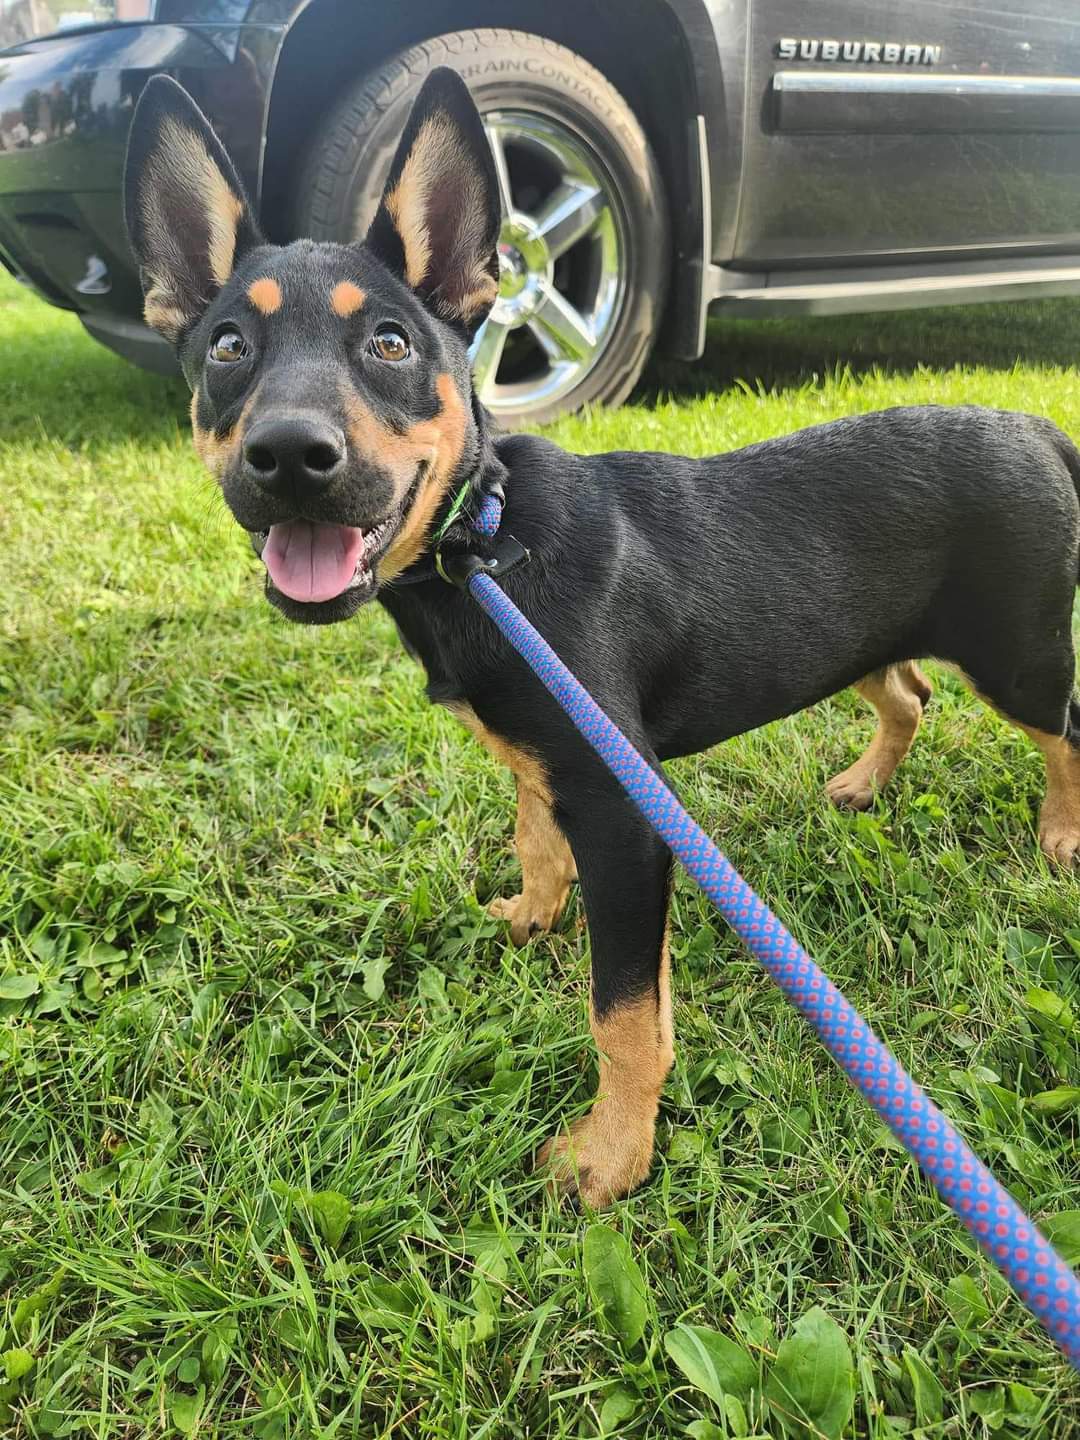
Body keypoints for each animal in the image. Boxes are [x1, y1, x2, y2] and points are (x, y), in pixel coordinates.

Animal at [122, 73, 1080, 1209]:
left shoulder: (626, 817)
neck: (486, 548)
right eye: (228, 347)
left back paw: (1063, 836)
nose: (289, 457)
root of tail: (1039, 429)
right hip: (861, 638)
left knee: (1064, 731)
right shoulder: (547, 761)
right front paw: (530, 917)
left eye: (391, 344)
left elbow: (623, 1014)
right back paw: (861, 784)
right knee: (909, 696)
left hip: (1020, 651)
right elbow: (535, 842)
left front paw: (611, 1156)